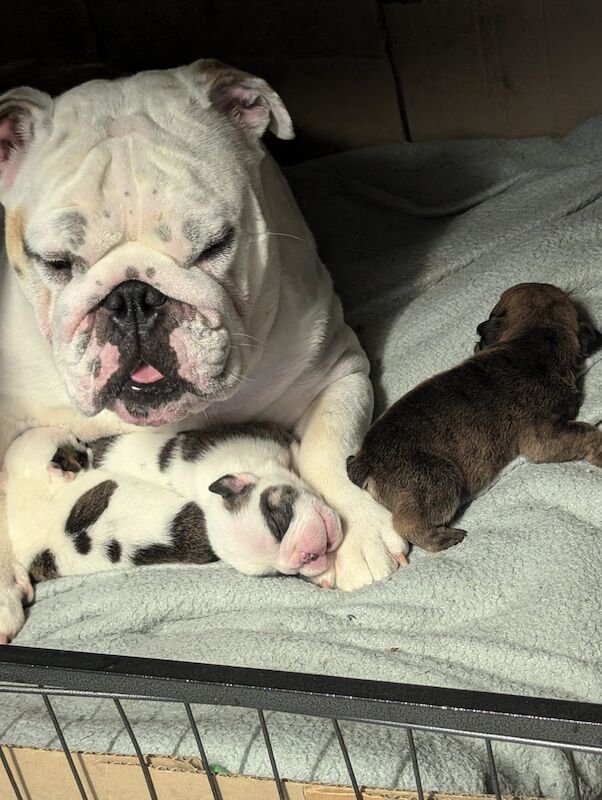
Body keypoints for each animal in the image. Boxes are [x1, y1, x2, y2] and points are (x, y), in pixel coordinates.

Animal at [344, 284, 600, 552]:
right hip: (440, 478)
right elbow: (588, 432)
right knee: (407, 525)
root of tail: (366, 460)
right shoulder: (541, 437)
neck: (536, 338)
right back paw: (444, 538)